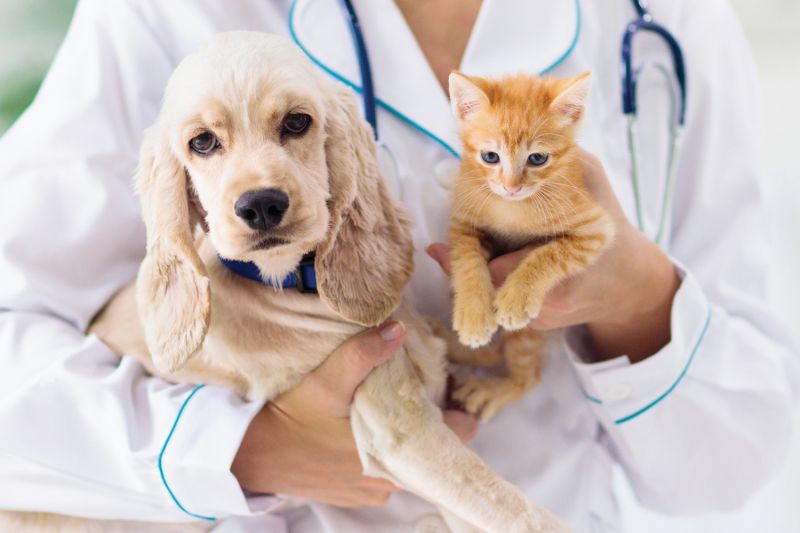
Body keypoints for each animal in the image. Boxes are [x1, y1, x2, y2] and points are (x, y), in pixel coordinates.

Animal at [446, 71, 616, 420]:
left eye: (537, 158)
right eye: (490, 156)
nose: (512, 187)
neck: (512, 208)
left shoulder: (596, 228)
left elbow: (550, 254)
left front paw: (517, 297)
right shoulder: (464, 221)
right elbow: (467, 260)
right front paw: (473, 314)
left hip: (529, 334)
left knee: (528, 374)